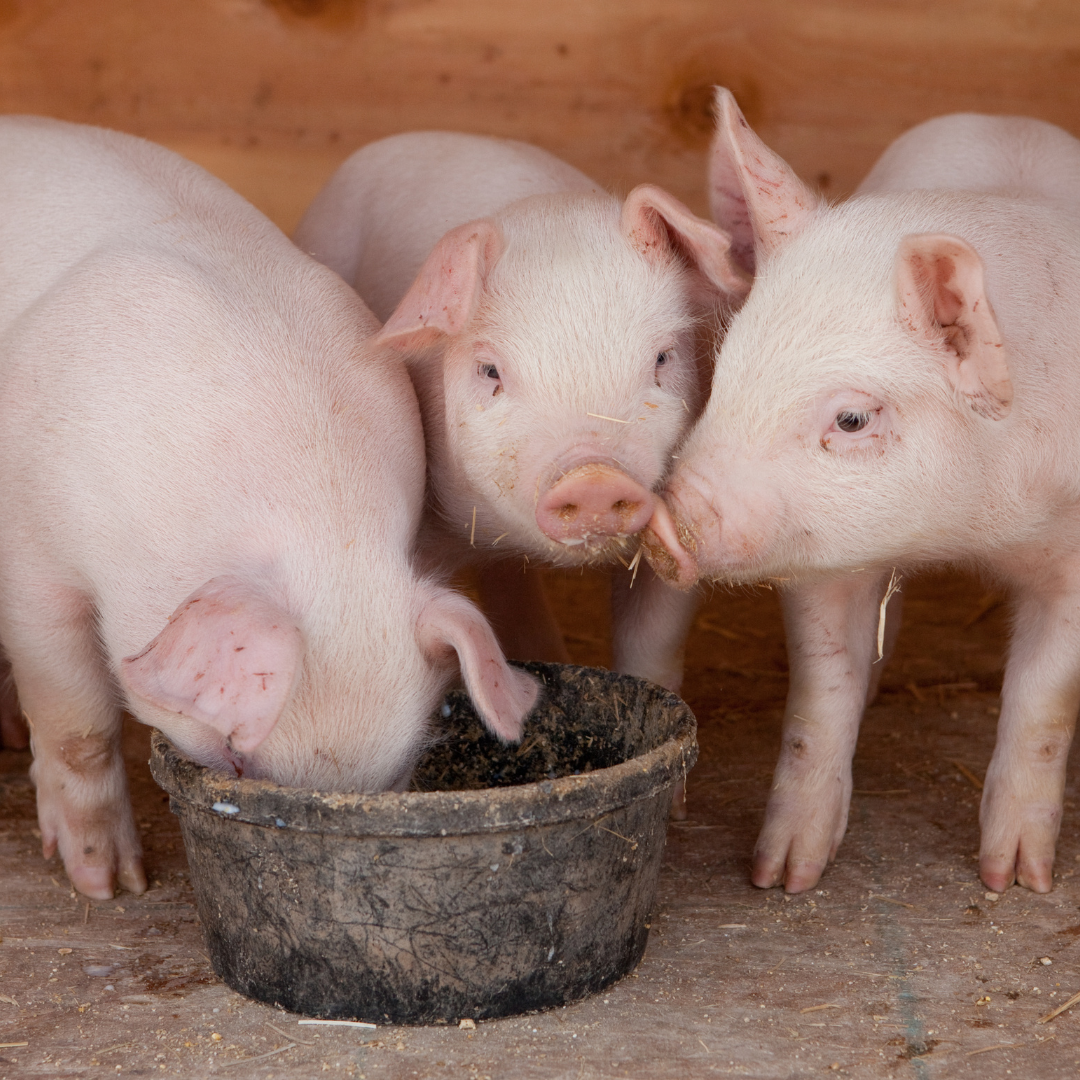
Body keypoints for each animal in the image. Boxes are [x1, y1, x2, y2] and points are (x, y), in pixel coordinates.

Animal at [0, 117, 537, 899]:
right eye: (233, 755)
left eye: (399, 772)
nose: (114, 885)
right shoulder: (31, 552)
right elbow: (78, 727)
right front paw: (113, 885)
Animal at [644, 88, 1080, 894]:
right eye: (729, 369)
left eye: (851, 418)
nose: (665, 519)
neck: (978, 527)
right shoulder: (823, 560)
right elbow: (823, 691)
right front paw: (781, 877)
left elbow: (1043, 701)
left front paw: (1015, 881)